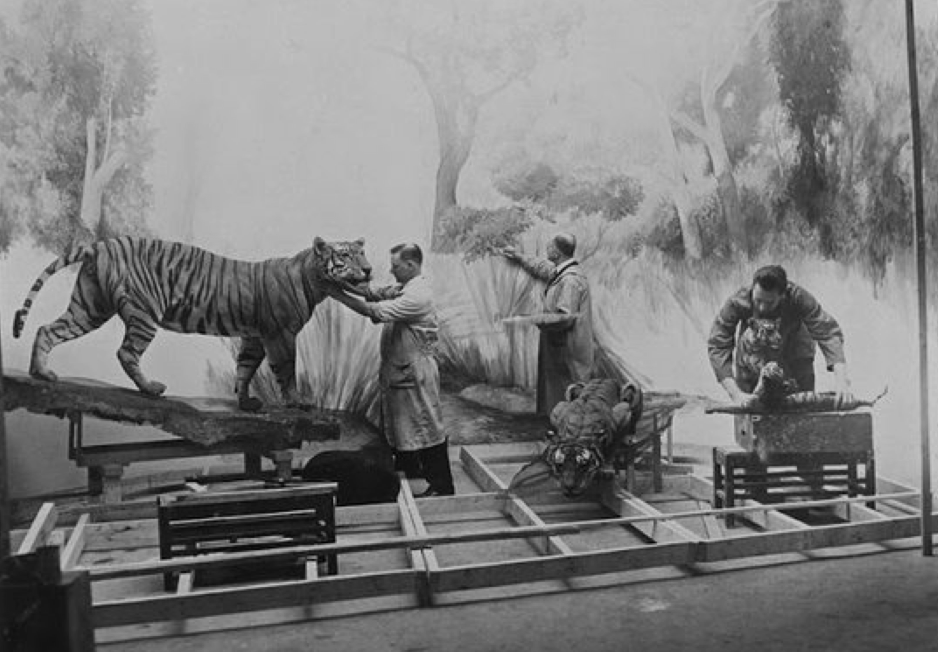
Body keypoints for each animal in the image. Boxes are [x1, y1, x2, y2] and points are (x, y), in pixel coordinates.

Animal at [12, 236, 372, 411]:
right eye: (346, 255)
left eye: (362, 254)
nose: (369, 270)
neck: (315, 281)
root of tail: (101, 243)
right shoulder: (280, 335)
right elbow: (286, 370)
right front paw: (298, 401)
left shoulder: (254, 336)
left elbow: (245, 368)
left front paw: (245, 402)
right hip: (144, 313)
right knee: (126, 352)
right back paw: (151, 389)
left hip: (89, 307)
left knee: (47, 329)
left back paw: (41, 373)